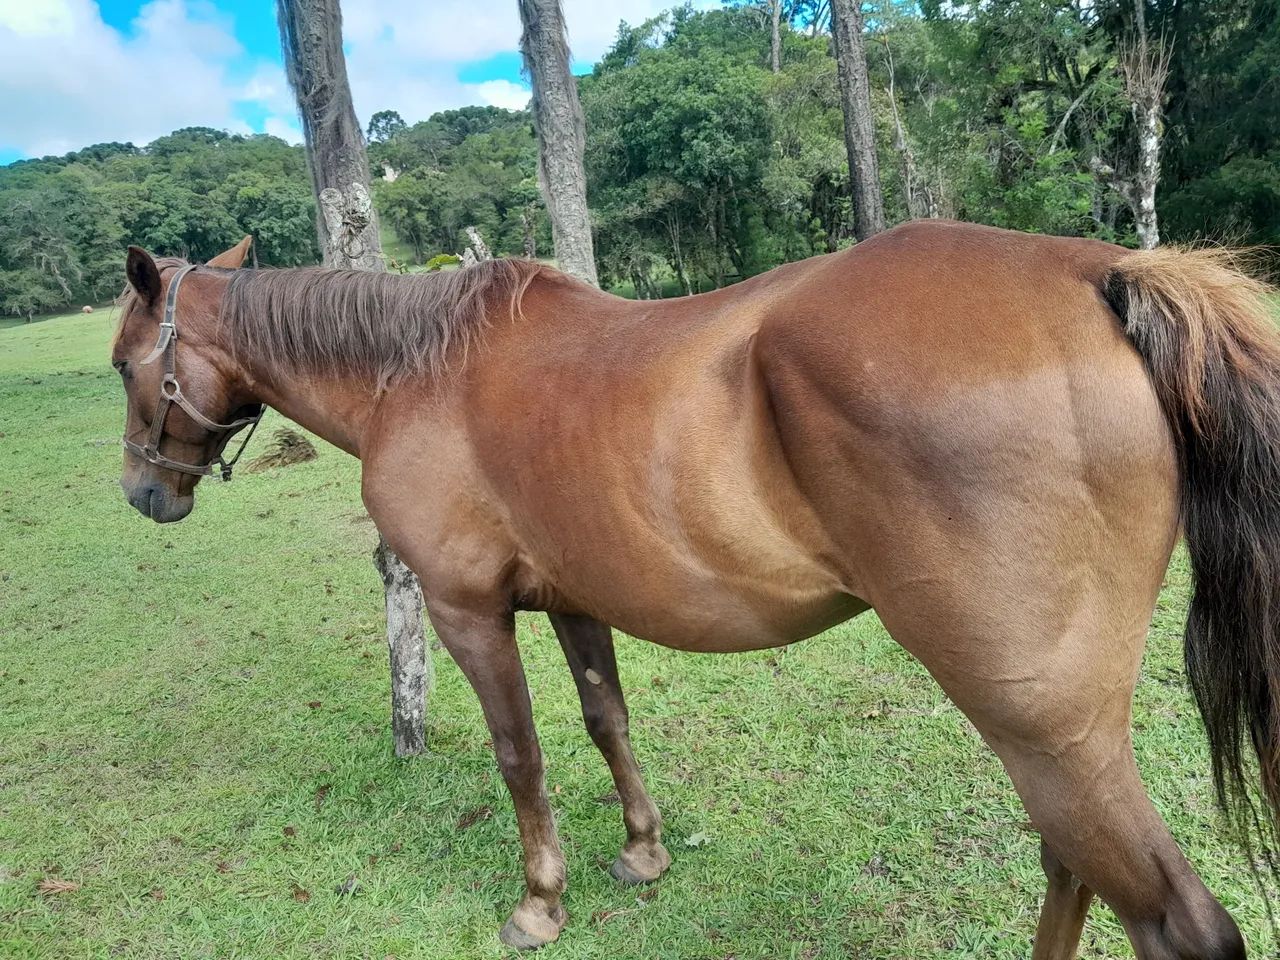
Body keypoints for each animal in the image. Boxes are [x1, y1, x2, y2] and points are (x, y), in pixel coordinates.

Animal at [110, 220, 1280, 958]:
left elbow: (520, 756)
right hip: (1056, 735)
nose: (141, 492)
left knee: (1165, 919)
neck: (420, 374)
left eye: (123, 364)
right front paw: (640, 852)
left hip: (1039, 724)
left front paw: (540, 904)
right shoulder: (575, 601)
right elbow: (605, 723)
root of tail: (1096, 273)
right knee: (1069, 866)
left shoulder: (465, 612)